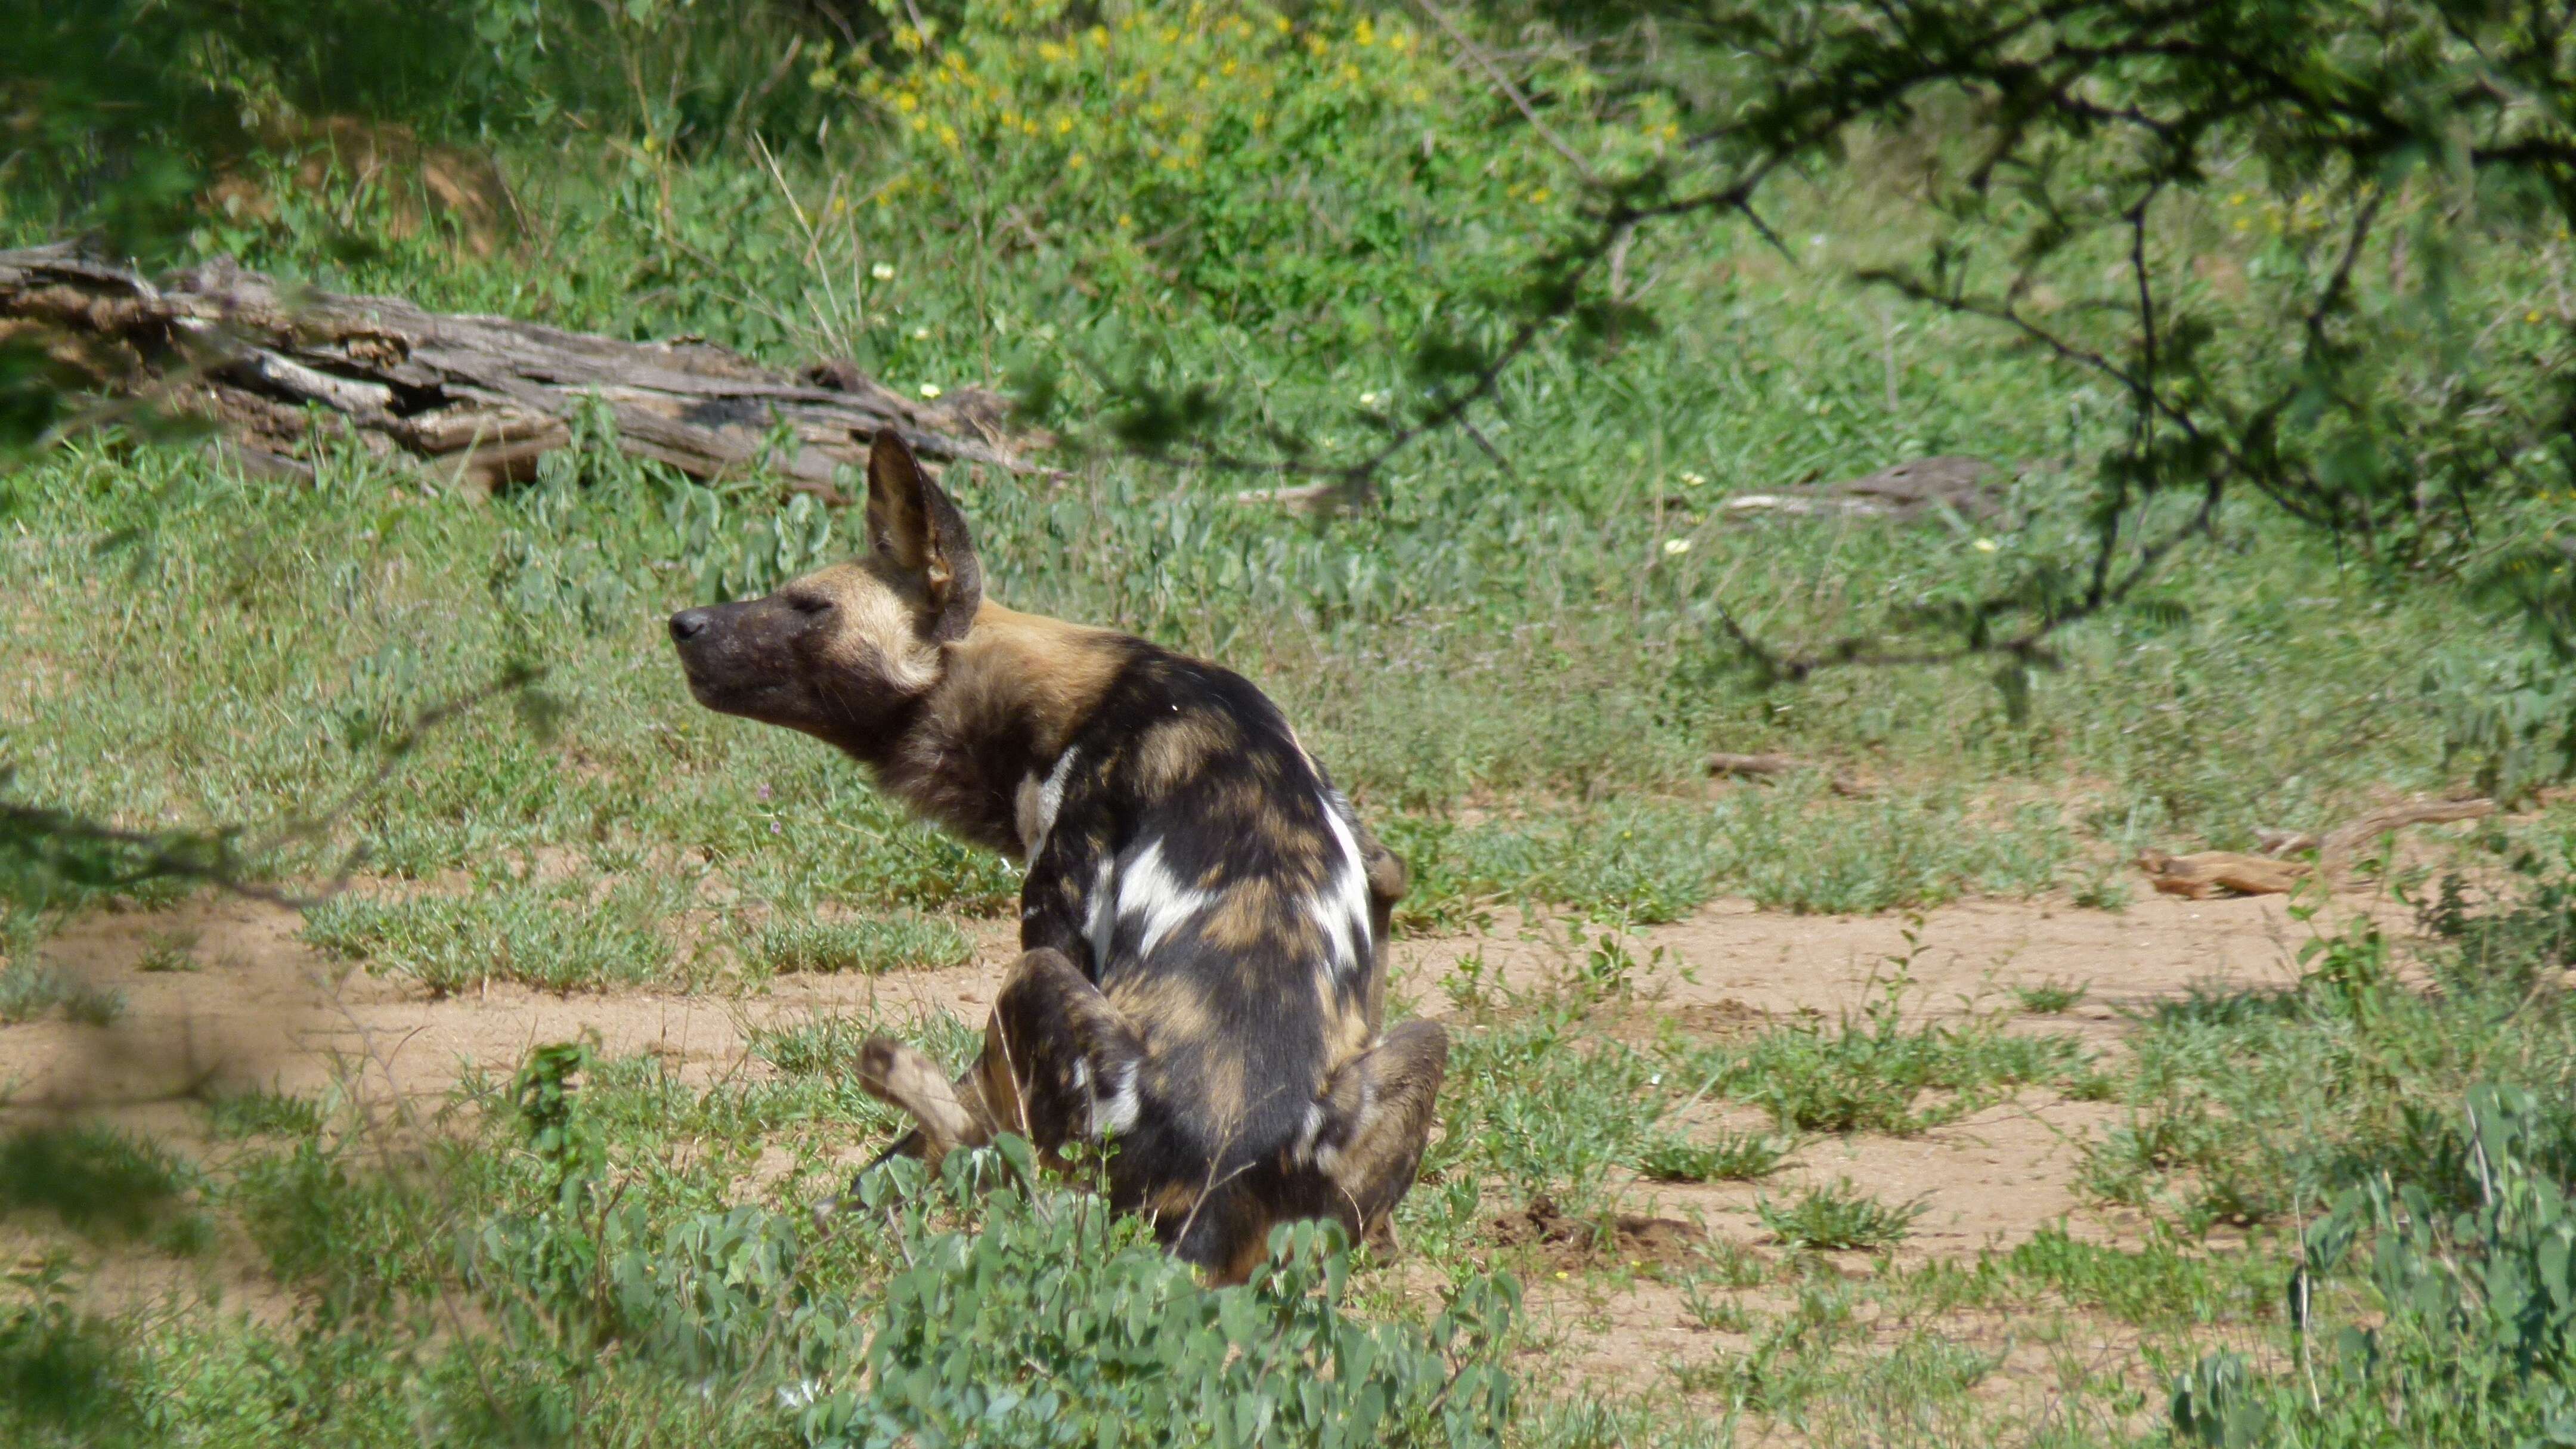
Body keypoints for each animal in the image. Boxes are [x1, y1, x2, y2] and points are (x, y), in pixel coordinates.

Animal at [670, 425, 1453, 1273]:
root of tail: (1218, 1180)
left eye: (811, 607)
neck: (1075, 694)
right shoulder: (1380, 868)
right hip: (1422, 1046)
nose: (682, 622)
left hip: (1035, 985)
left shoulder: (1057, 919)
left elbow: (940, 1130)